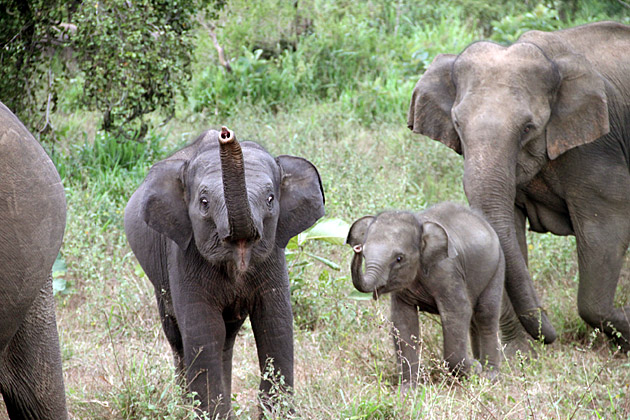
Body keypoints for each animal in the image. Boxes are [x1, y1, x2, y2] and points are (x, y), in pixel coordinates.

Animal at [126, 125, 328, 416]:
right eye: (204, 202)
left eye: (270, 199)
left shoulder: (273, 254)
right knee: (178, 336)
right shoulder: (183, 254)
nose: (225, 133)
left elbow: (275, 324)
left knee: (227, 338)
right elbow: (203, 330)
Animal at [348, 203, 506, 384]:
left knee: (486, 314)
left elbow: (458, 312)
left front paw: (475, 369)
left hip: (497, 267)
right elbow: (402, 321)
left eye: (399, 258)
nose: (357, 249)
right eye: (364, 255)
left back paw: (489, 374)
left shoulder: (447, 271)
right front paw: (408, 388)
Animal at [408, 20, 630, 352]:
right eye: (457, 124)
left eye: (528, 128)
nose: (550, 332)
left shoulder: (597, 148)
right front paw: (518, 354)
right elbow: (506, 231)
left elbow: (603, 230)